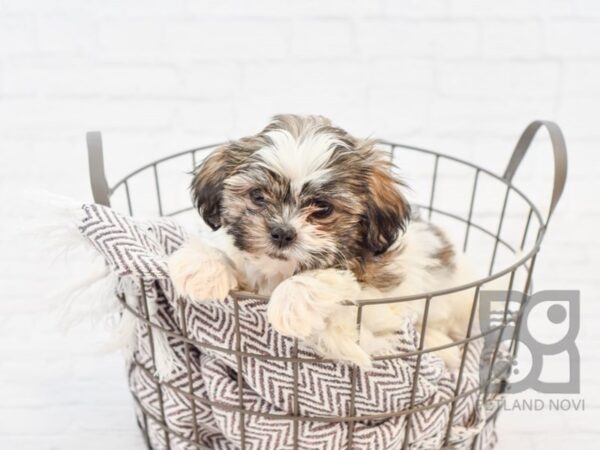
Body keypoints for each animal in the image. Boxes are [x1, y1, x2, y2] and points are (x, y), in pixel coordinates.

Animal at [170, 114, 478, 368]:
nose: (282, 232)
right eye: (258, 196)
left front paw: (292, 303)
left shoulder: (377, 305)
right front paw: (201, 267)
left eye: (323, 208)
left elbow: (335, 286)